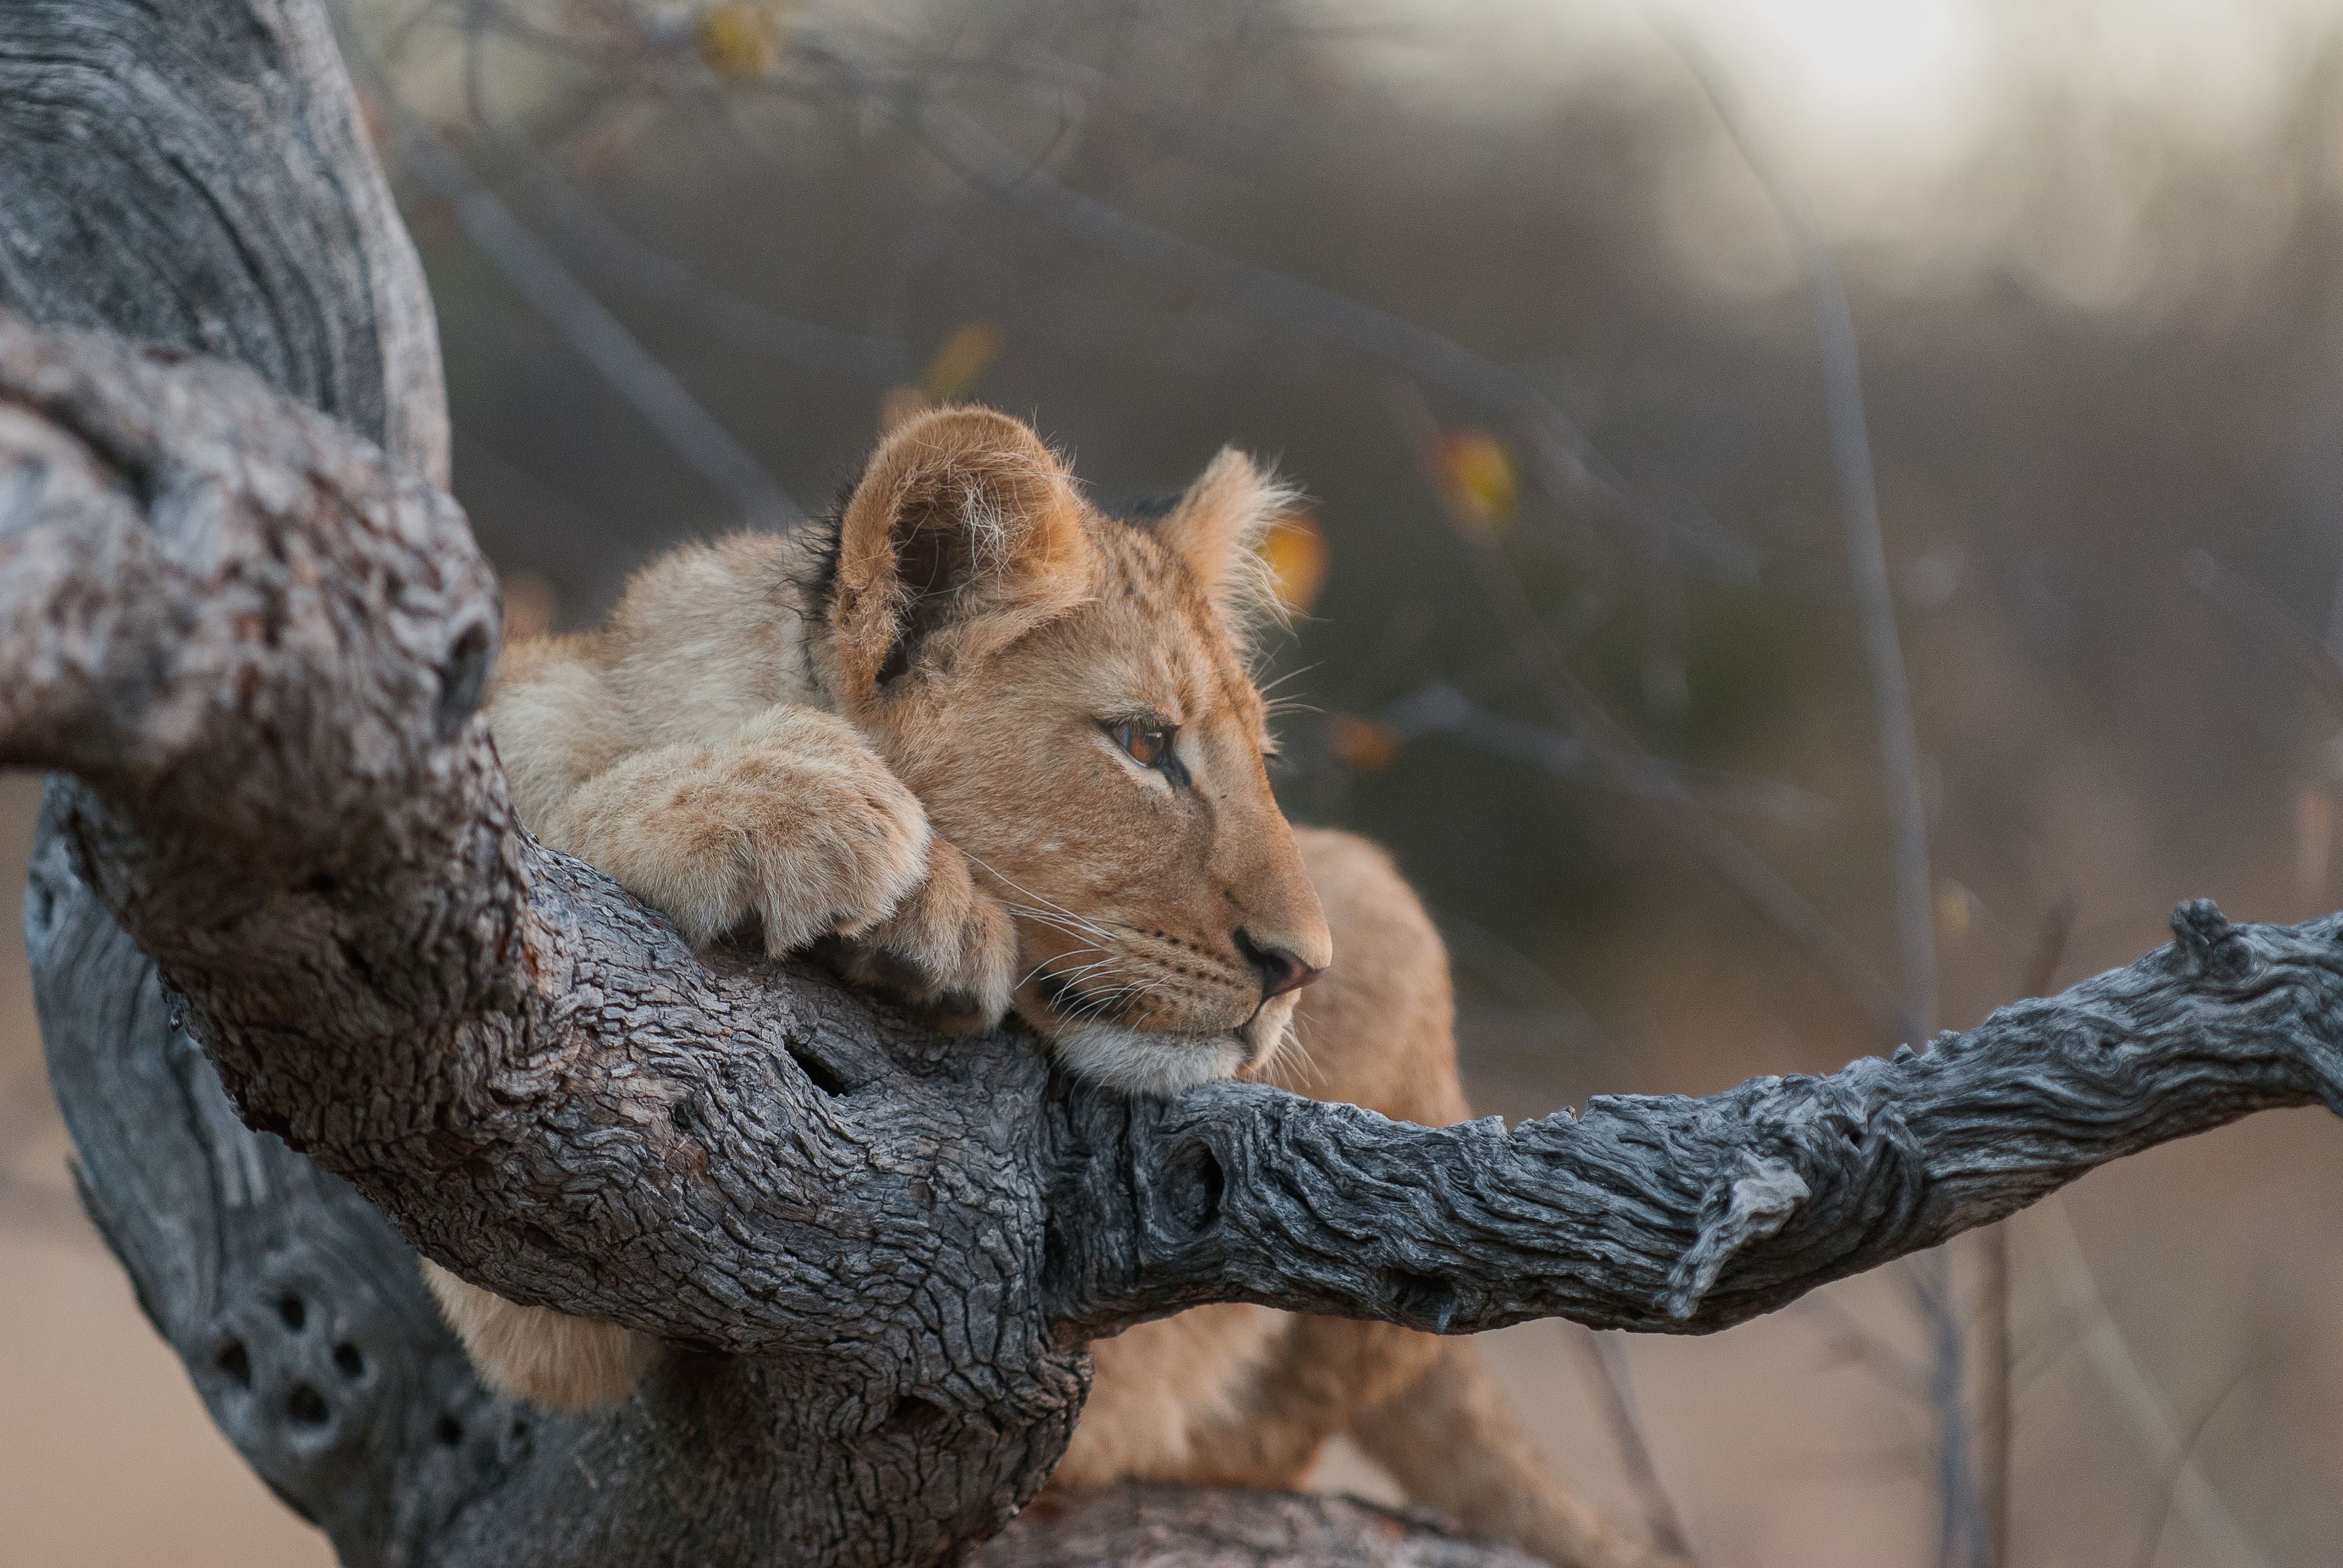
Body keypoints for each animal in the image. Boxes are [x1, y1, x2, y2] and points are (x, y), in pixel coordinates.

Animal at [424, 406, 1668, 1568]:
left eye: (1259, 763)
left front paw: (910, 913)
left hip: (1384, 905)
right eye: (1144, 744)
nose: (1301, 968)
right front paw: (815, 815)